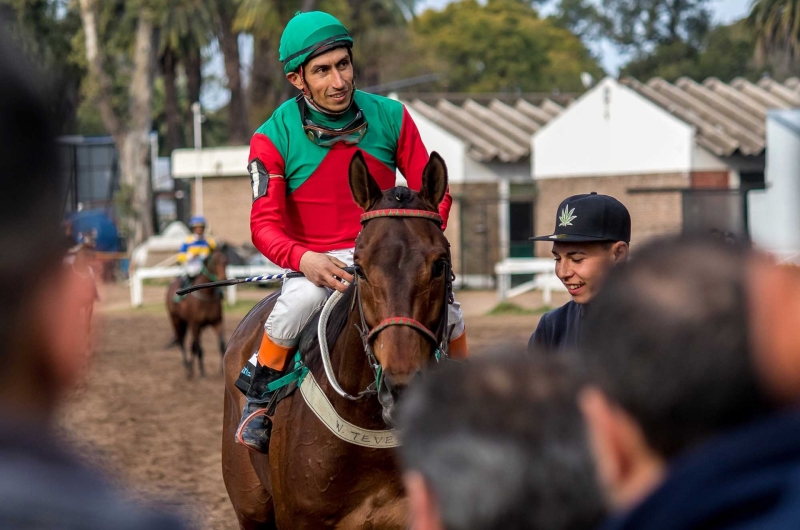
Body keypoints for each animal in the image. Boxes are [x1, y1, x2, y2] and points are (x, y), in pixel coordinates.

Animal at [166, 248, 228, 376]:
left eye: (226, 261)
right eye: (215, 262)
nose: (223, 278)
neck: (206, 295)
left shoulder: (217, 322)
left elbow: (221, 344)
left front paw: (221, 370)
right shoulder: (195, 324)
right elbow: (199, 348)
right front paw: (202, 372)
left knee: (192, 345)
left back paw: (190, 366)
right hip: (176, 320)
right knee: (182, 341)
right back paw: (186, 366)